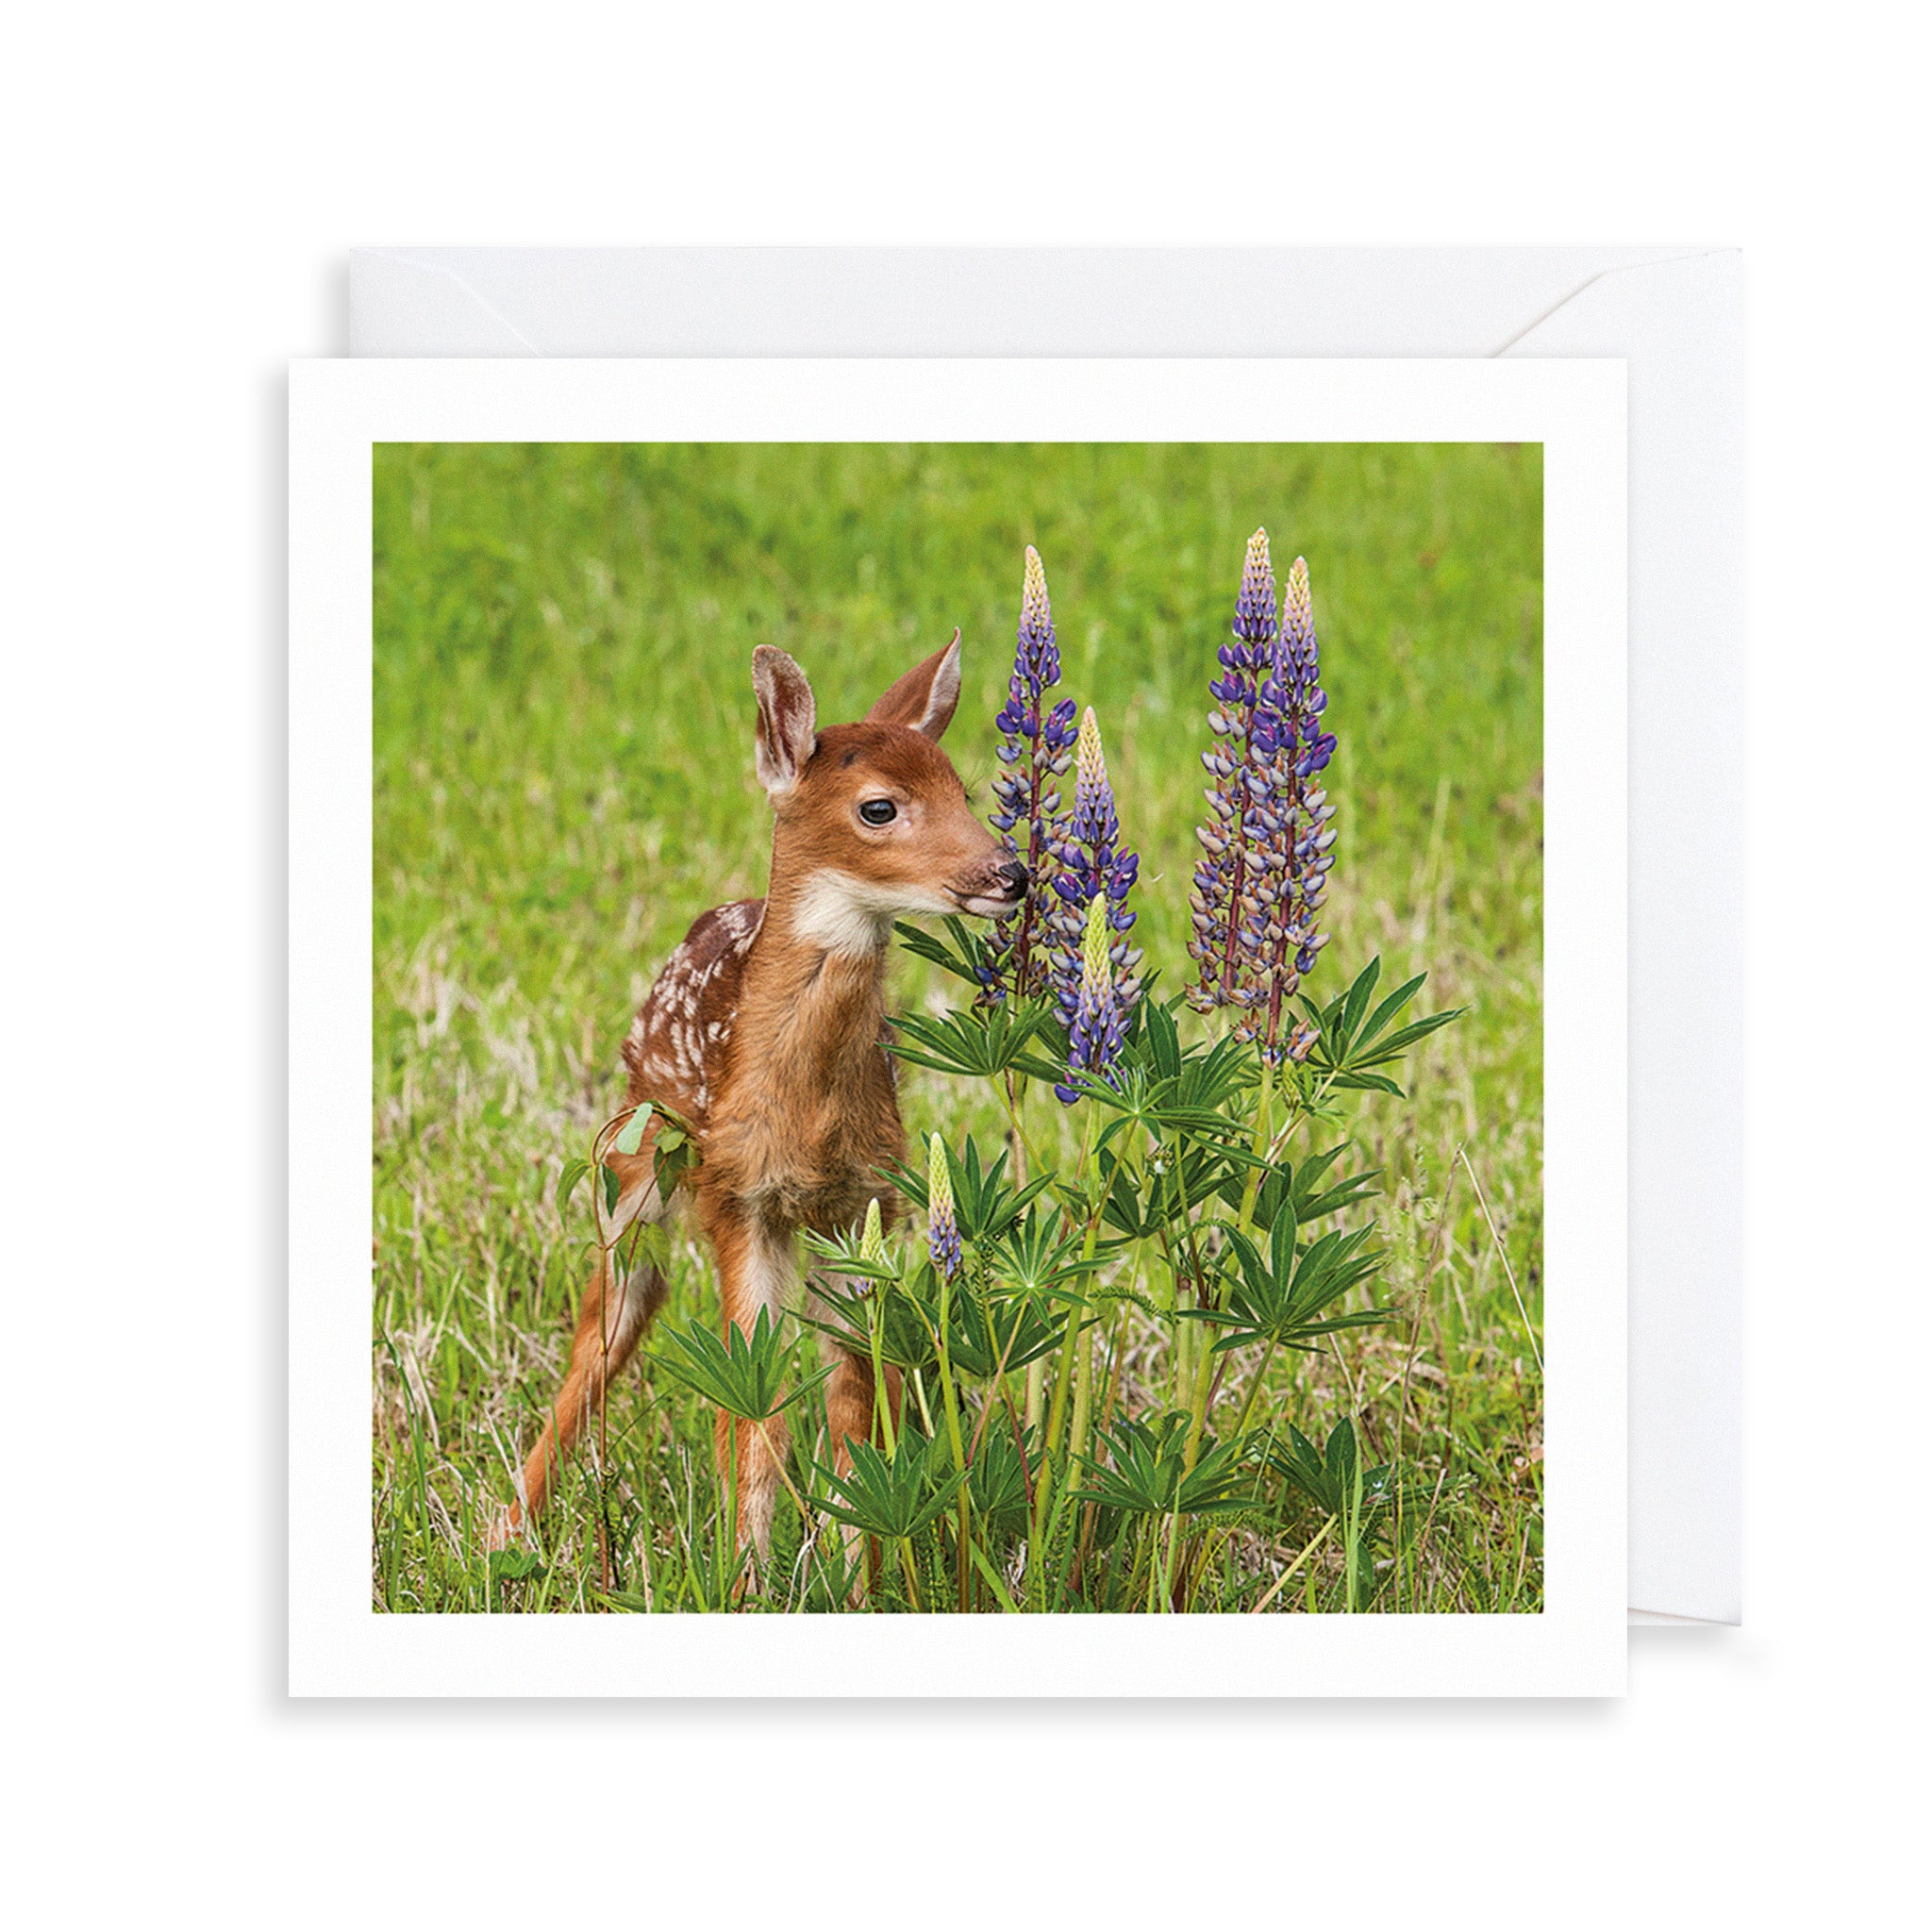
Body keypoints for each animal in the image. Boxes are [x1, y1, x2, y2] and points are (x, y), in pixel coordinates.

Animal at [488, 631, 1028, 1568]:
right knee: (616, 1310)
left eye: (964, 791)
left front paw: (855, 1574)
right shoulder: (738, 1197)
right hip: (641, 1157)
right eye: (879, 808)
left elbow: (852, 1403)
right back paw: (511, 1525)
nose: (1013, 872)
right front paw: (745, 1576)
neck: (806, 1115)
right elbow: (754, 1410)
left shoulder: (863, 1204)